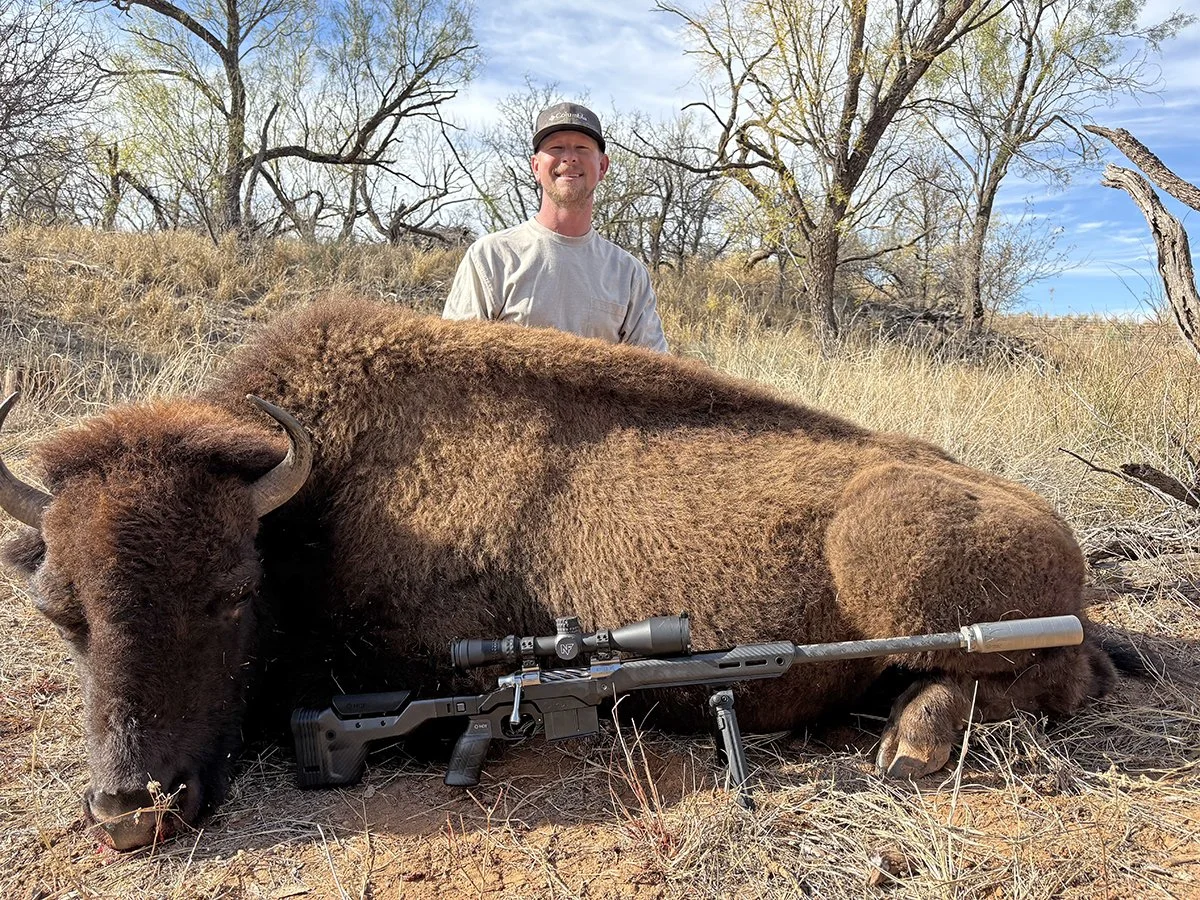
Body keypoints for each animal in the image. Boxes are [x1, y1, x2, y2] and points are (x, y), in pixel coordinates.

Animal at [1, 298, 1115, 850]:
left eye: (231, 593)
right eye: (59, 613)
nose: (128, 812)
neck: (314, 505)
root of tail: (1052, 520)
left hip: (898, 562)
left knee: (1047, 675)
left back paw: (910, 746)